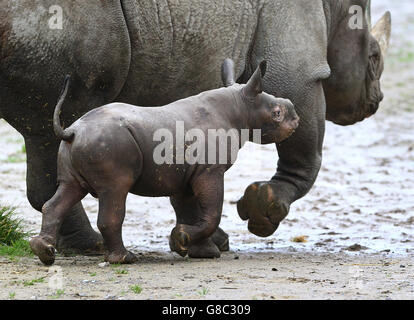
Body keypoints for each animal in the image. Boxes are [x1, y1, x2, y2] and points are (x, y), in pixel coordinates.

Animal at [30, 60, 300, 264]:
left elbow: (190, 209)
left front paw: (196, 250)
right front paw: (184, 241)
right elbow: (212, 211)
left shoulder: (186, 173)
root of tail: (72, 131)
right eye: (277, 114)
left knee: (68, 190)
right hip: (109, 145)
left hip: (75, 147)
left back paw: (44, 253)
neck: (239, 104)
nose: (297, 119)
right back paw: (125, 259)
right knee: (115, 191)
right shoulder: (210, 169)